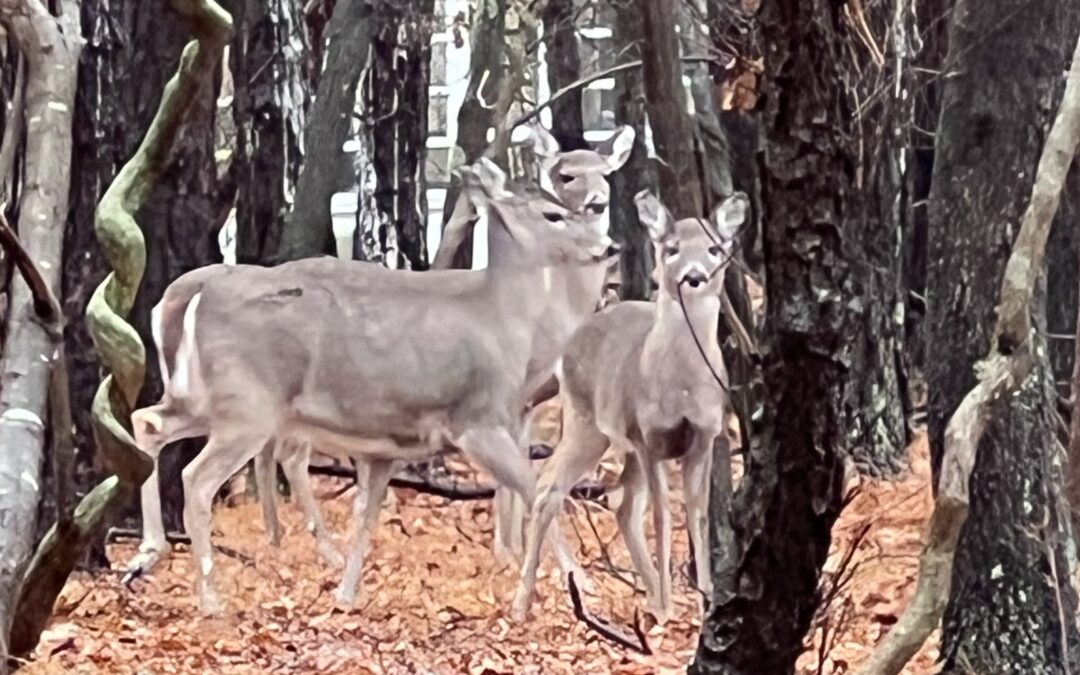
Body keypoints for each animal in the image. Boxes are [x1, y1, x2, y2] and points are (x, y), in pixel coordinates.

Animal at [125, 122, 630, 578]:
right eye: (560, 186)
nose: (608, 243)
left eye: (606, 174)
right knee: (237, 464)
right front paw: (545, 568)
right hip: (254, 404)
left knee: (151, 422)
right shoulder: (489, 411)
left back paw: (163, 550)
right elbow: (531, 483)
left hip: (209, 399)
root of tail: (189, 291)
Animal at [509, 187, 747, 622]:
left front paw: (703, 599)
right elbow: (663, 515)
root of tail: (575, 333)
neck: (681, 388)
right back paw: (523, 602)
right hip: (586, 422)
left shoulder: (705, 435)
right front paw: (670, 608)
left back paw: (648, 595)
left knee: (620, 502)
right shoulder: (649, 437)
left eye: (714, 248)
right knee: (549, 486)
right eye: (671, 248)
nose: (694, 277)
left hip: (621, 443)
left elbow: (698, 513)